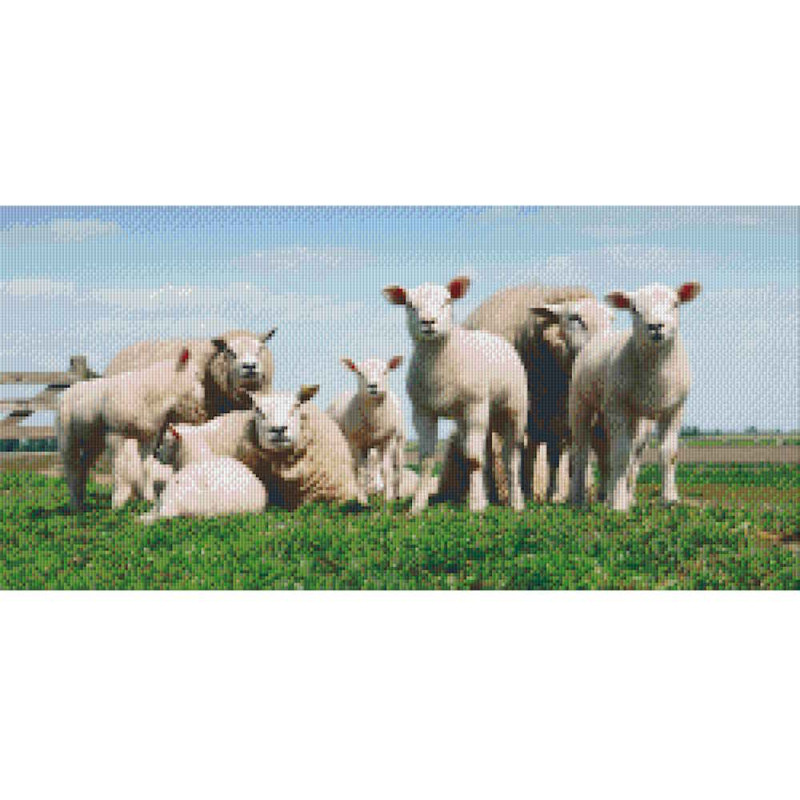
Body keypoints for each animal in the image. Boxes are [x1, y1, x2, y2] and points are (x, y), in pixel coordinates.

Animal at [56, 349, 204, 511]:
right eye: (196, 373)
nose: (202, 413)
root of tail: (70, 389)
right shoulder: (115, 433)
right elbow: (118, 465)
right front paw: (118, 502)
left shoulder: (149, 435)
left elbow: (146, 467)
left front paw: (149, 498)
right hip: (66, 435)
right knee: (70, 467)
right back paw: (74, 504)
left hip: (94, 441)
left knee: (83, 466)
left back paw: (81, 502)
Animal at [327, 356, 406, 501]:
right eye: (360, 373)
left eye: (385, 372)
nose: (373, 386)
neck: (375, 420)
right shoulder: (356, 442)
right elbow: (360, 470)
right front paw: (362, 500)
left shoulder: (388, 438)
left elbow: (386, 468)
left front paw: (388, 498)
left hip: (398, 441)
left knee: (398, 466)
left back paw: (396, 494)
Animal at [382, 276, 527, 515]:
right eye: (410, 305)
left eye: (447, 301)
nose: (428, 322)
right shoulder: (422, 411)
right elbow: (427, 460)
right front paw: (417, 506)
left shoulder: (475, 404)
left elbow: (473, 458)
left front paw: (475, 505)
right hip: (474, 416)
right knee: (484, 453)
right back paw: (486, 496)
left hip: (514, 409)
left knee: (511, 458)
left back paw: (516, 502)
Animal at [569, 281, 702, 511]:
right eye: (634, 308)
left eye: (676, 303)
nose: (656, 326)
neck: (656, 375)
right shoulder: (618, 406)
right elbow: (620, 454)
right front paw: (619, 505)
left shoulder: (674, 409)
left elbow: (668, 454)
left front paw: (670, 499)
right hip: (580, 403)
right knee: (581, 452)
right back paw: (578, 499)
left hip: (634, 416)